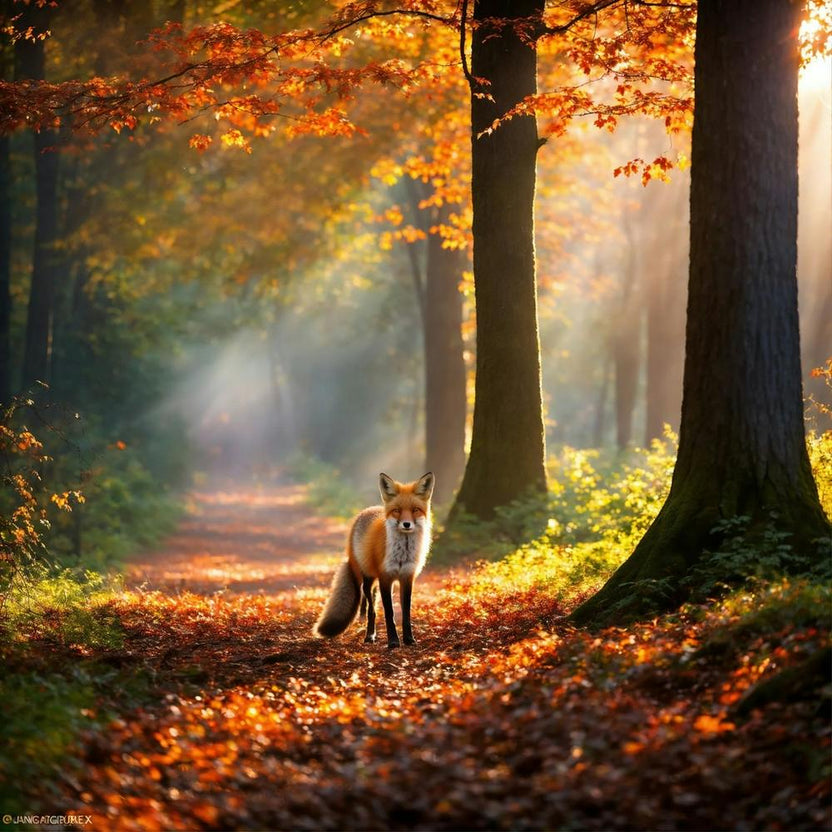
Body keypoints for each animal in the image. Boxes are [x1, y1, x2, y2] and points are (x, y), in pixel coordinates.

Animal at [313, 471, 434, 648]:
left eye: (415, 510)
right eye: (397, 510)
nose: (406, 524)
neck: (402, 553)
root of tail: (367, 510)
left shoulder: (407, 577)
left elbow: (406, 613)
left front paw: (409, 639)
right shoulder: (385, 577)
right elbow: (389, 613)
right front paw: (393, 641)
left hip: (376, 582)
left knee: (374, 605)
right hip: (368, 579)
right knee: (371, 609)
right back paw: (370, 635)